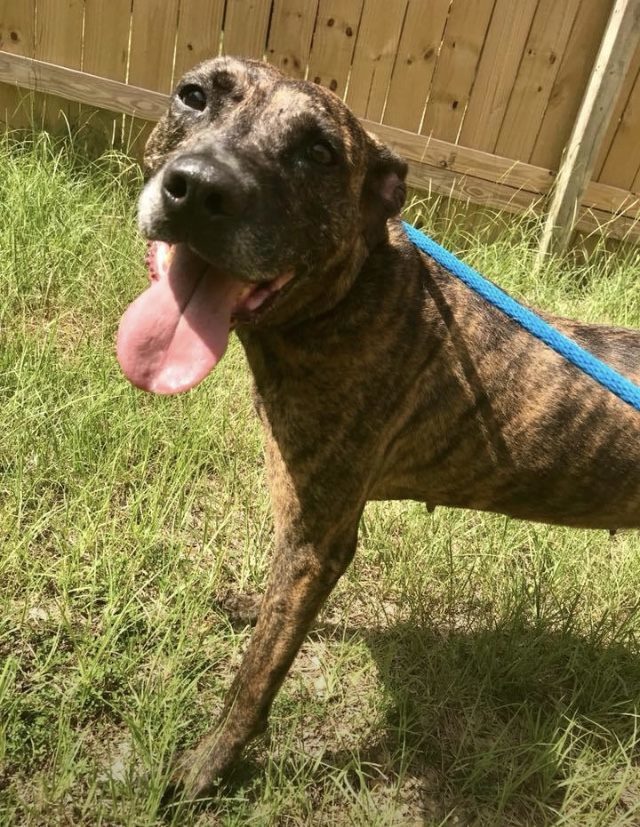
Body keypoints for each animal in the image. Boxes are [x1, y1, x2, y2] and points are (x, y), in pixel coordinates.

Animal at [117, 55, 640, 800]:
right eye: (194, 95)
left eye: (319, 153)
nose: (200, 190)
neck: (346, 299)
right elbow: (270, 618)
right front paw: (248, 605)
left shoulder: (318, 541)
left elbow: (257, 674)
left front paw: (209, 764)